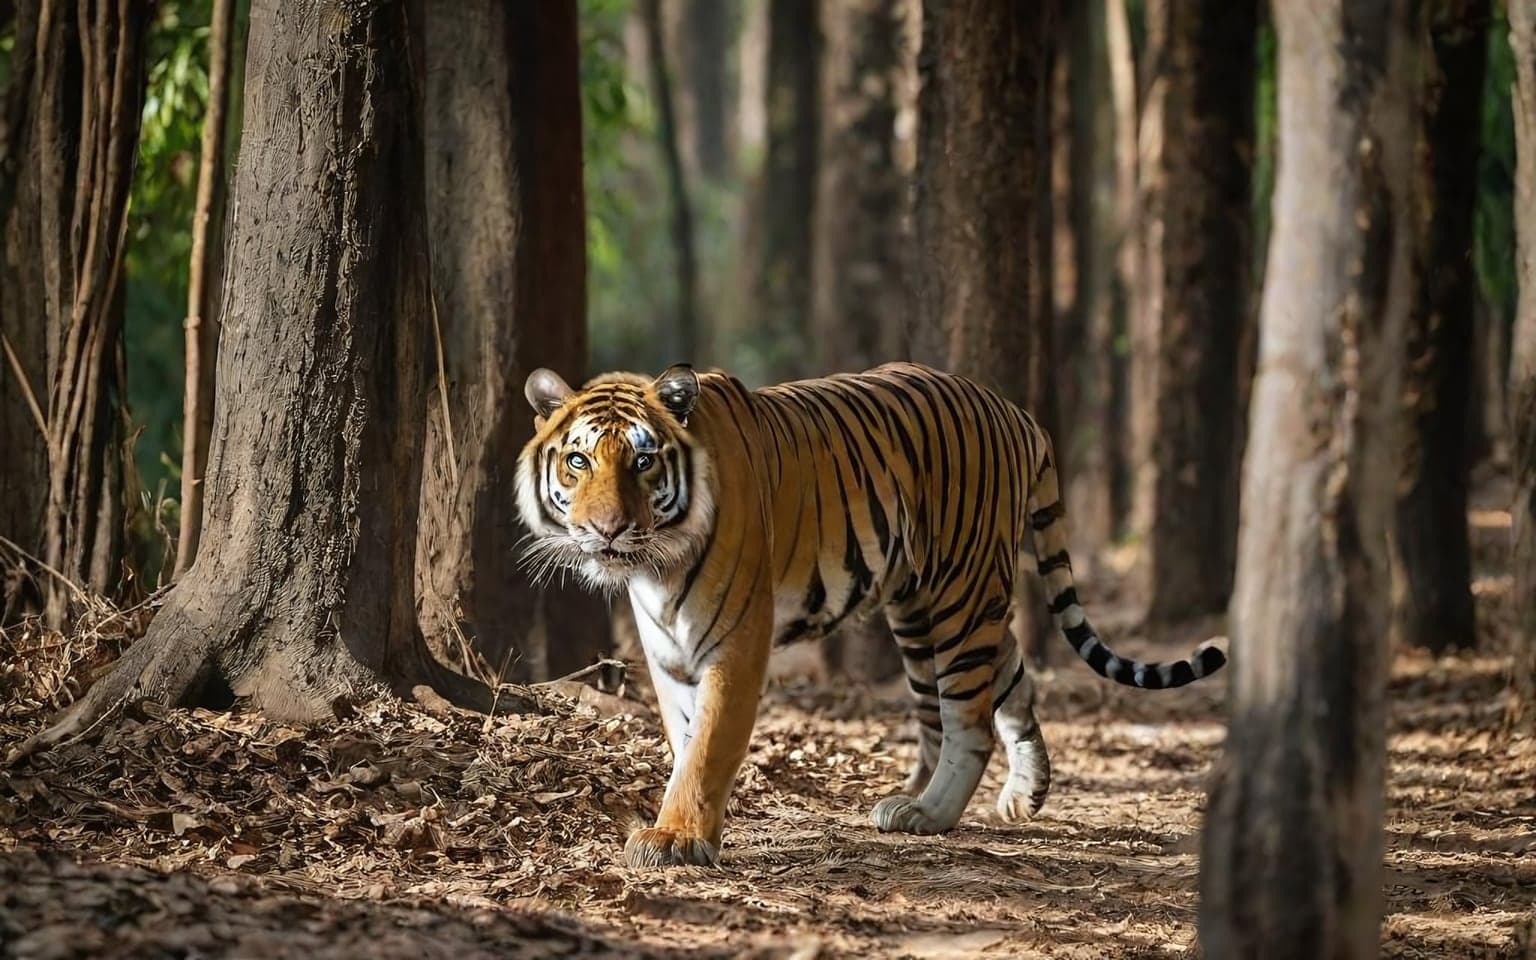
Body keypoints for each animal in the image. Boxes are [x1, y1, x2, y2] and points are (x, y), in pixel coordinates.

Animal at [515, 361, 1226, 868]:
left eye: (643, 461)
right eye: (578, 461)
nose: (607, 530)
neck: (655, 565)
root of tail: (1016, 412)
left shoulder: (736, 642)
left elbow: (710, 745)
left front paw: (676, 839)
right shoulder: (667, 653)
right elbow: (685, 740)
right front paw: (684, 828)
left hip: (961, 591)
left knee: (970, 720)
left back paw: (928, 814)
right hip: (922, 605)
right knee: (1010, 677)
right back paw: (1022, 795)